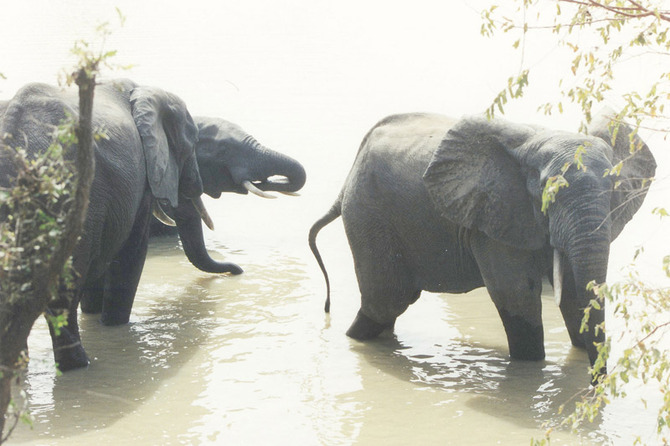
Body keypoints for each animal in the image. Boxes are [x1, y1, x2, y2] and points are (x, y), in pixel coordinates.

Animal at [0, 79, 308, 370]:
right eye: (221, 149)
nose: (237, 270)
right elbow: (131, 254)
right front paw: (114, 327)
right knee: (62, 295)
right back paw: (79, 366)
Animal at [312, 111, 660, 376]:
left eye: (615, 191)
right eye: (548, 193)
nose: (595, 384)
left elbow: (575, 294)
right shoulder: (493, 217)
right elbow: (517, 294)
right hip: (368, 214)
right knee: (386, 300)